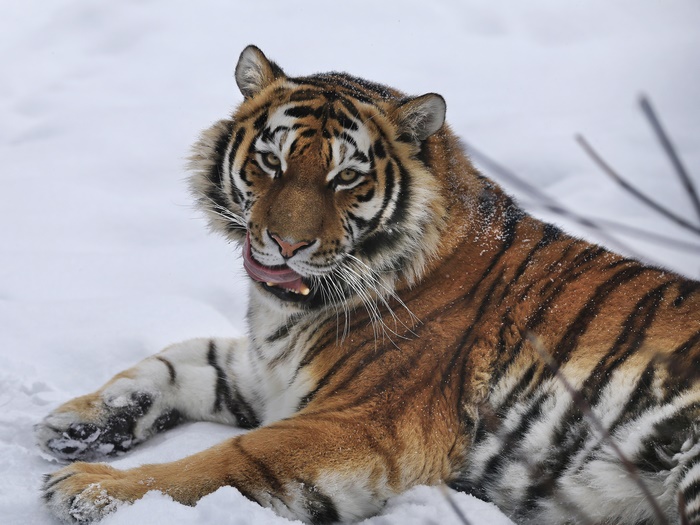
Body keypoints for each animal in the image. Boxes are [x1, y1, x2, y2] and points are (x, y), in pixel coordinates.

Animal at [37, 44, 700, 524]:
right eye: (272, 162)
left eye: (346, 179)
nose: (287, 244)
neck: (288, 313)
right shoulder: (271, 373)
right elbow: (177, 360)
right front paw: (73, 424)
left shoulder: (363, 421)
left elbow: (223, 462)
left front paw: (88, 488)